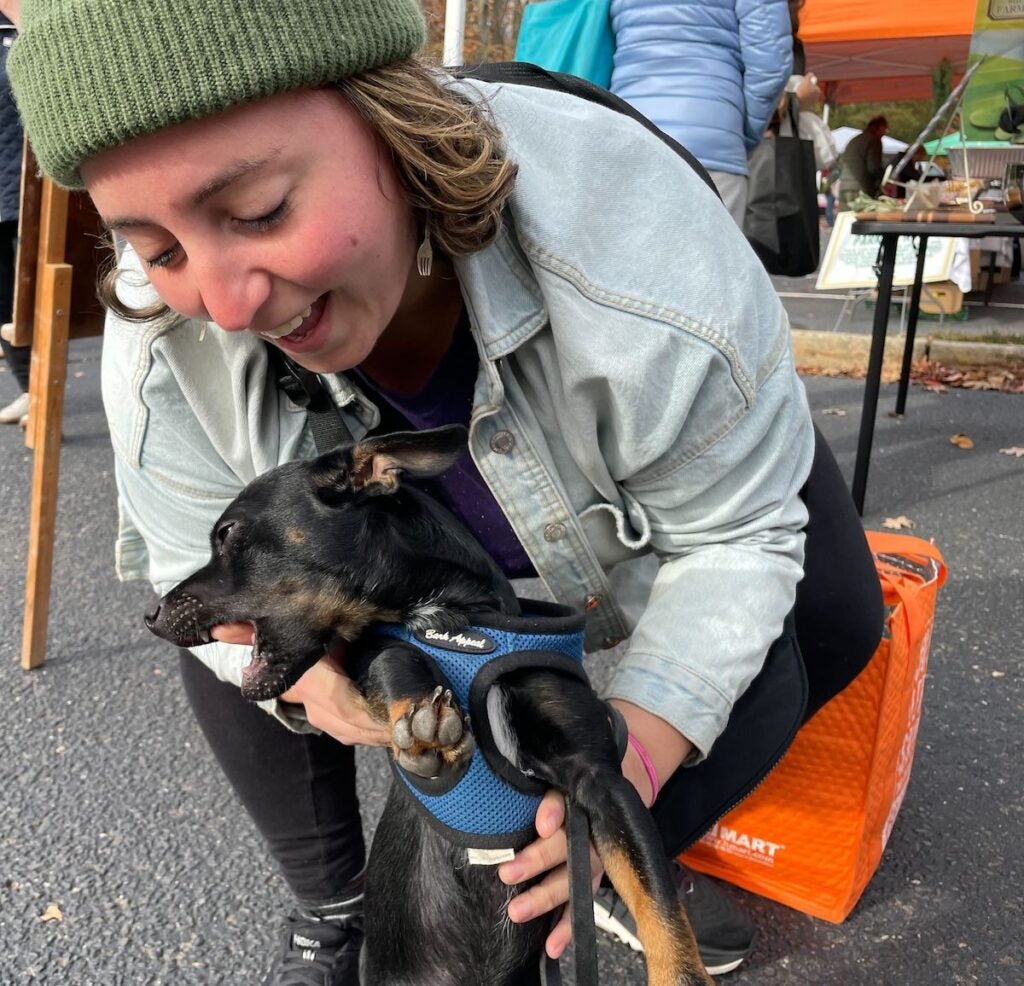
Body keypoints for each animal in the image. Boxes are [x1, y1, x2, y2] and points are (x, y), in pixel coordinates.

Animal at [146, 425, 712, 986]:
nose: (150, 614)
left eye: (227, 534)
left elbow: (663, 916)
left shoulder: (601, 781)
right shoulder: (374, 651)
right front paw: (424, 722)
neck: (460, 626)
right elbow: (392, 653)